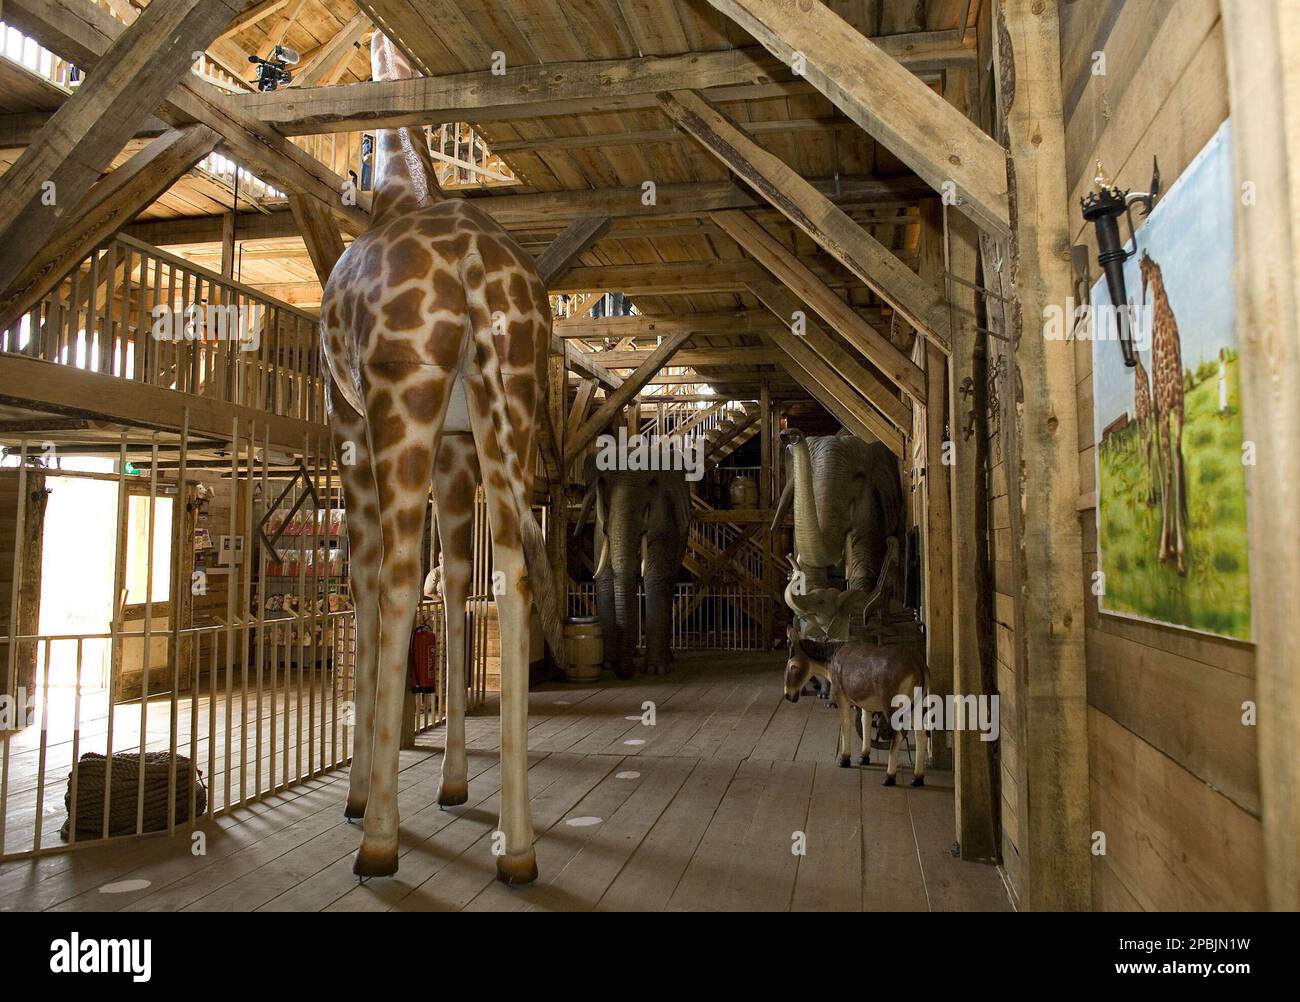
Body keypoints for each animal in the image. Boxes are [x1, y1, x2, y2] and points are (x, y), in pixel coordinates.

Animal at [320, 33, 563, 883]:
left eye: (362, 146)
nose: (348, 182)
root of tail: (476, 267)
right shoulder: (458, 449)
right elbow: (457, 586)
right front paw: (453, 781)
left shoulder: (348, 425)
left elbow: (363, 586)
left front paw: (362, 791)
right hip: (509, 401)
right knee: (514, 574)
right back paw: (518, 846)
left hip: (405, 397)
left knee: (394, 577)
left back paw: (377, 840)